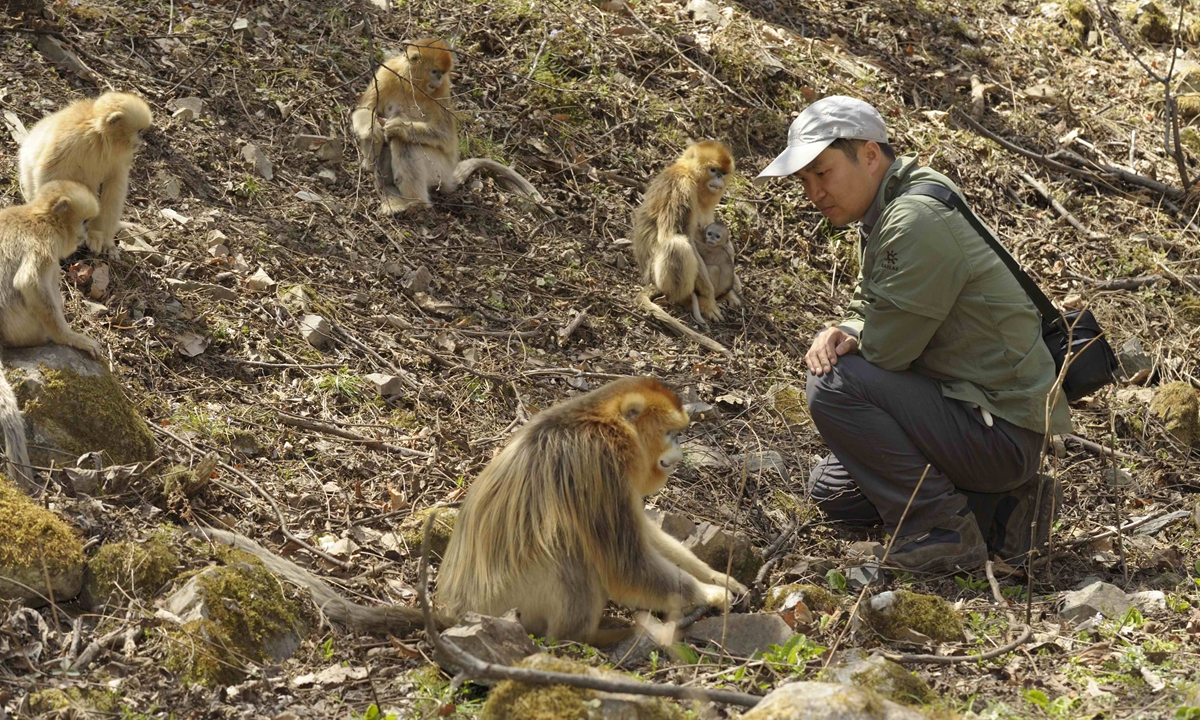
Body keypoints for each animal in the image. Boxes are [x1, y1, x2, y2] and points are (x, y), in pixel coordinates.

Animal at [0, 180, 102, 492]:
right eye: (83, 221)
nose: (83, 235)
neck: (36, 215)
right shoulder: (43, 240)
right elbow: (29, 282)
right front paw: (71, 337)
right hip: (26, 327)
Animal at [18, 92, 152, 257]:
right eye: (139, 132)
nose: (140, 142)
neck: (101, 138)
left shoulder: (121, 158)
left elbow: (115, 190)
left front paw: (106, 241)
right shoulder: (72, 140)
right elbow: (48, 174)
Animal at [189, 378, 746, 644]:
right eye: (671, 432)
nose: (677, 456)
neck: (597, 422)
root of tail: (452, 610)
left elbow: (646, 538)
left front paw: (726, 581)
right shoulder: (596, 462)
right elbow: (624, 561)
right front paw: (710, 596)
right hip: (507, 604)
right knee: (573, 557)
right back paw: (590, 638)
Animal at [350, 39, 550, 216]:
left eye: (441, 74)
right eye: (435, 71)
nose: (438, 81)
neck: (410, 84)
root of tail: (448, 175)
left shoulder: (441, 91)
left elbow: (444, 135)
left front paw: (400, 126)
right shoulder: (387, 73)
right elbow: (366, 110)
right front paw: (372, 129)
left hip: (439, 169)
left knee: (404, 144)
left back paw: (417, 205)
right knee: (379, 144)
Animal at [632, 141, 735, 327]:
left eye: (723, 173)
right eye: (713, 170)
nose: (719, 179)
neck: (691, 176)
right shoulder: (681, 187)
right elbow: (682, 237)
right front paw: (709, 300)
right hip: (657, 277)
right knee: (676, 244)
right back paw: (686, 300)